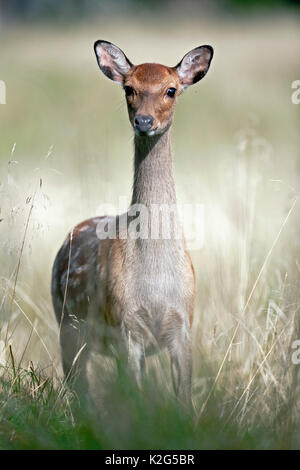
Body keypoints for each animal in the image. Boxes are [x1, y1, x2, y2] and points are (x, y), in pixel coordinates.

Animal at [51, 41, 213, 408]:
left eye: (171, 89)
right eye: (129, 88)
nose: (144, 120)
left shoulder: (183, 324)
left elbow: (184, 401)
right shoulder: (125, 325)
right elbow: (135, 397)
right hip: (68, 325)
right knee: (78, 387)